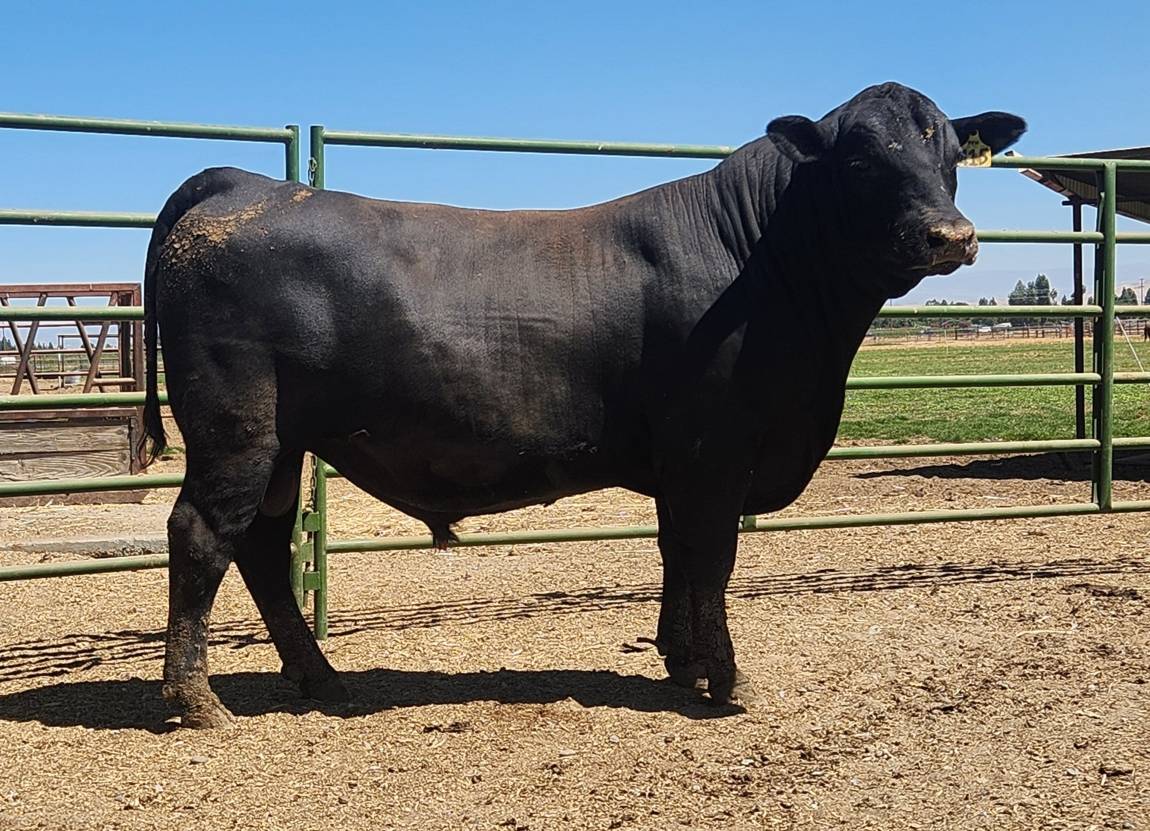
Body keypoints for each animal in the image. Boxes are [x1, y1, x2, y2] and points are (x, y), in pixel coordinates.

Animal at [143, 82, 1025, 728]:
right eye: (861, 158)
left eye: (951, 153)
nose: (951, 235)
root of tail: (246, 184)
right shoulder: (716, 450)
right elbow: (713, 557)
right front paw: (726, 678)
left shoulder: (681, 460)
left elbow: (676, 553)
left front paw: (682, 661)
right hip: (238, 429)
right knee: (203, 533)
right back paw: (197, 698)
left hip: (282, 441)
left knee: (260, 544)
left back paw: (319, 676)